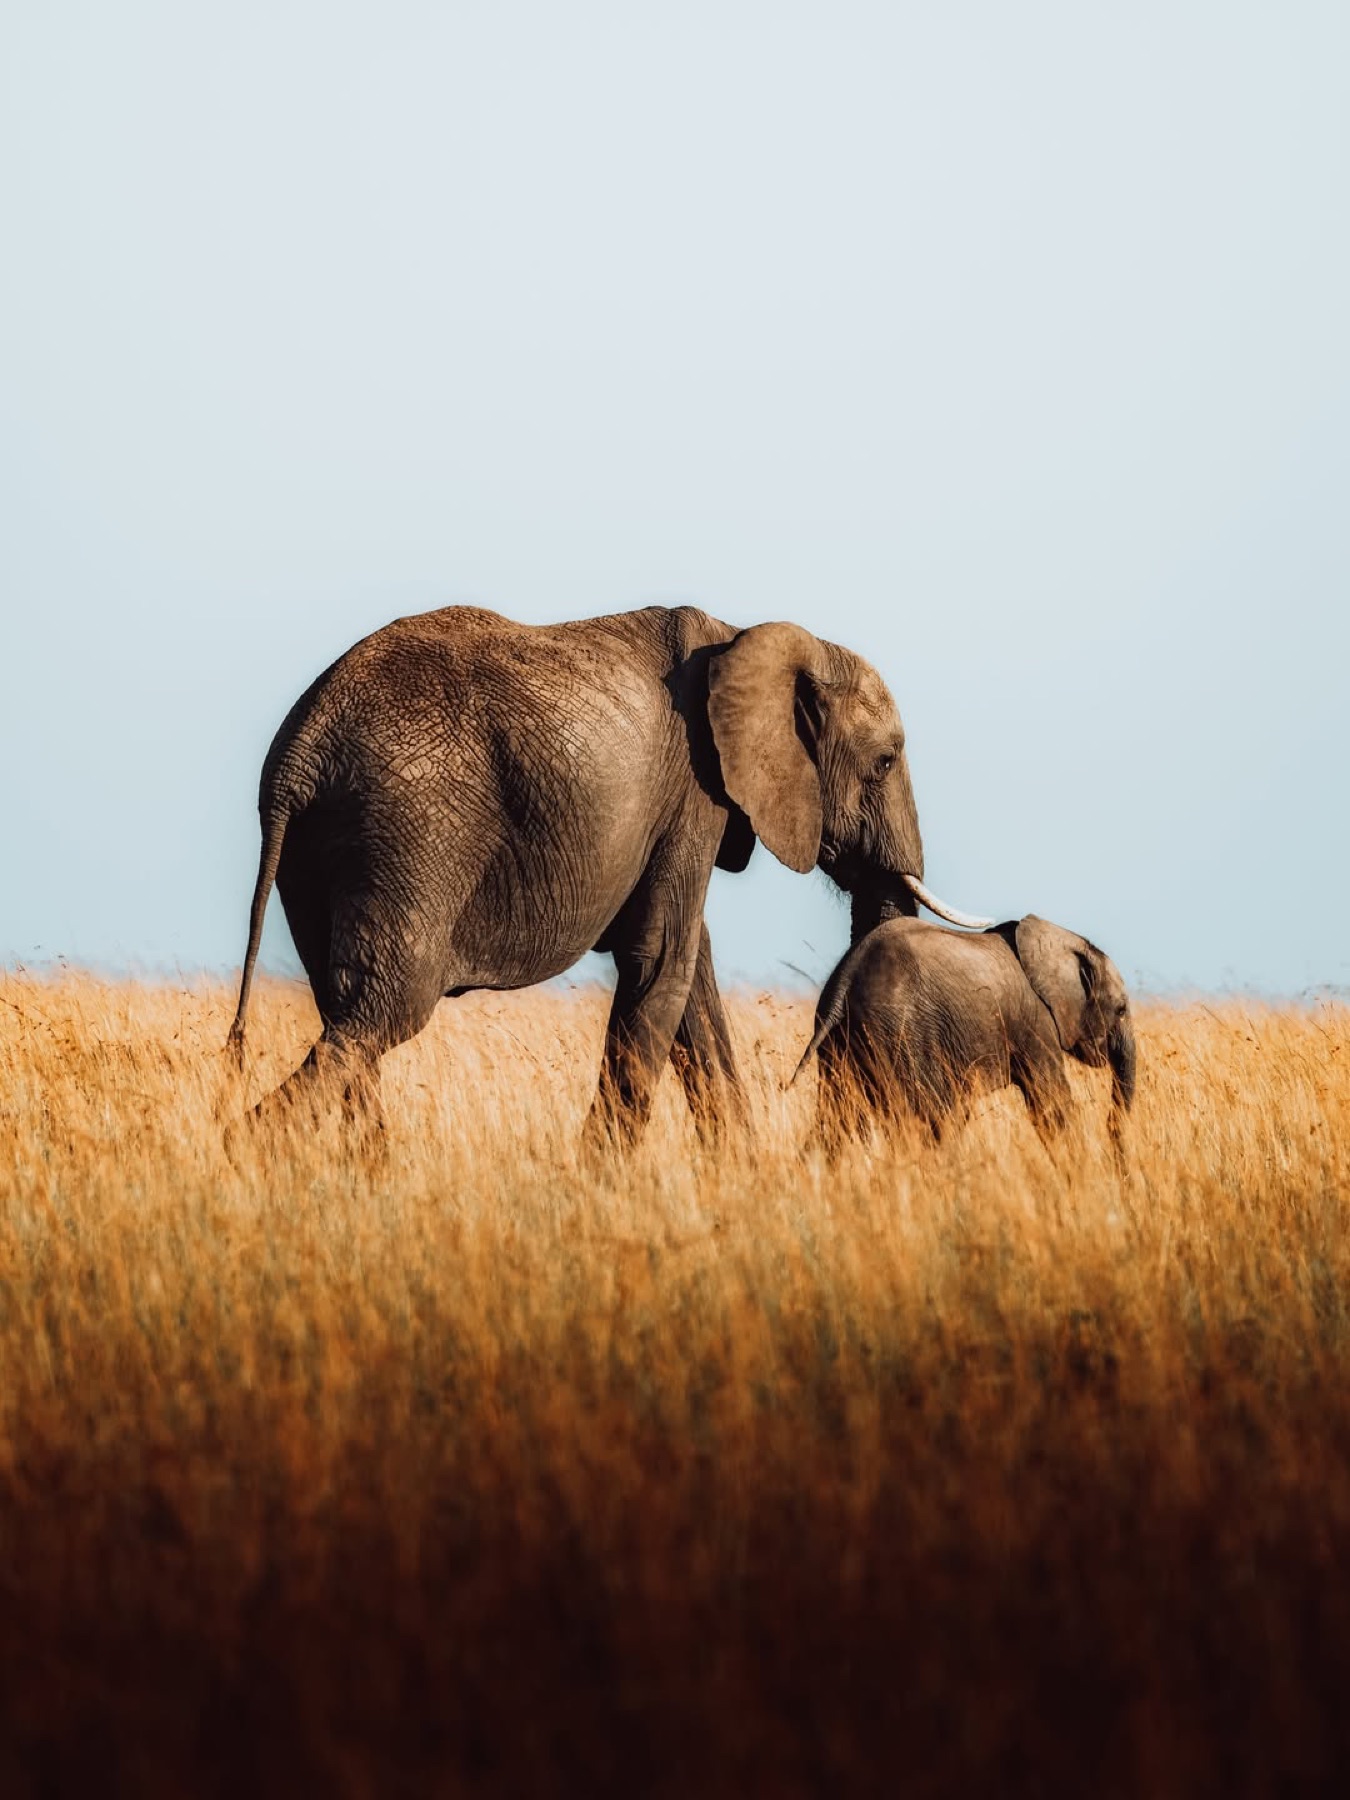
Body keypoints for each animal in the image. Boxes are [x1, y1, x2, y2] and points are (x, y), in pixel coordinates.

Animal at [227, 603, 985, 1148]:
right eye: (885, 762)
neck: (750, 638)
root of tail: (299, 753)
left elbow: (692, 972)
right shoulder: (695, 792)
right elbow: (661, 962)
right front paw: (596, 1182)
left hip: (326, 850)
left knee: (346, 1012)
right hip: (407, 832)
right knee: (384, 1010)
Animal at [794, 914, 1136, 1152]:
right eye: (1120, 1009)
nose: (1111, 1126)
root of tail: (845, 980)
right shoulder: (1036, 1023)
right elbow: (1052, 1101)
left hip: (841, 1043)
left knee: (836, 1119)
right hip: (900, 1033)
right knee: (927, 1118)